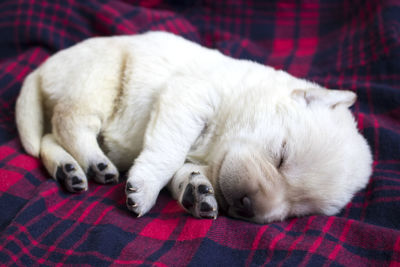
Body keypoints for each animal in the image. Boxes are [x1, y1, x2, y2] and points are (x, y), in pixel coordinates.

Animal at [14, 31, 372, 224]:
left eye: (299, 211)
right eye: (281, 156)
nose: (249, 207)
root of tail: (41, 69)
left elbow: (186, 171)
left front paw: (197, 192)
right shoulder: (188, 95)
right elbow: (169, 151)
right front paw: (144, 190)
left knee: (49, 136)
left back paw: (69, 170)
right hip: (97, 78)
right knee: (69, 121)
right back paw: (93, 162)